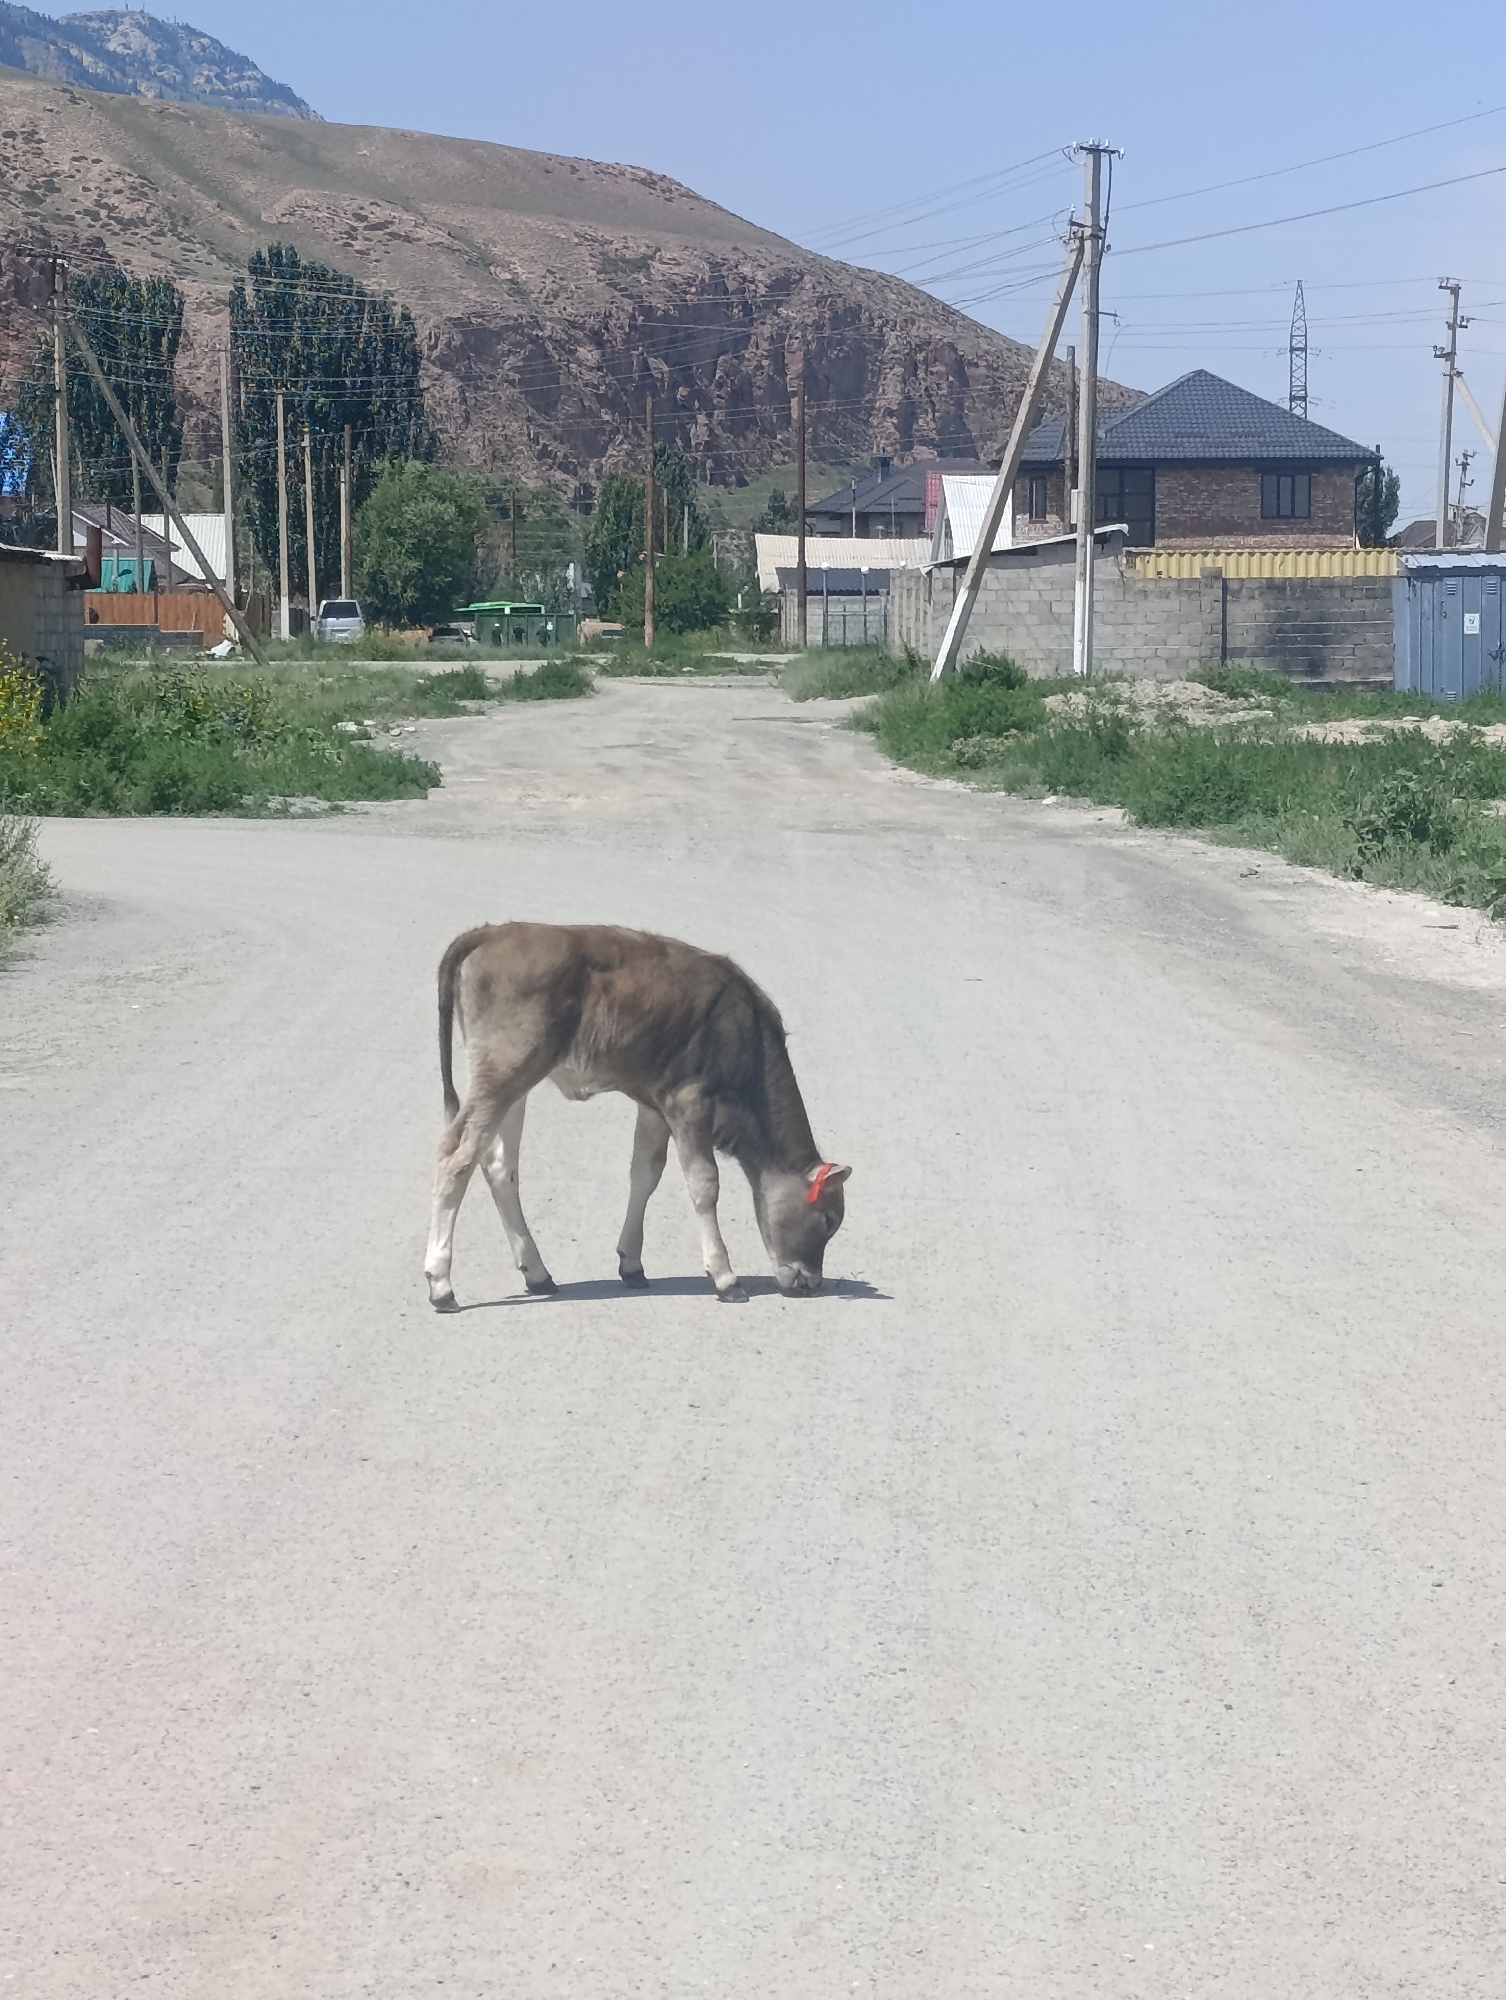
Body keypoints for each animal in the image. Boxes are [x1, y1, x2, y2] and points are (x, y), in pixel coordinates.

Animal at [423, 923, 851, 1310]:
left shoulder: (654, 1104)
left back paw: (538, 1273)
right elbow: (704, 1183)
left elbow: (646, 1173)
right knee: (455, 1157)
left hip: (517, 1084)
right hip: (503, 1073)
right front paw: (726, 1277)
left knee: (499, 1165)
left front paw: (632, 1264)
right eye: (828, 1220)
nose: (812, 1281)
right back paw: (441, 1285)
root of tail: (493, 932)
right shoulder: (689, 1100)